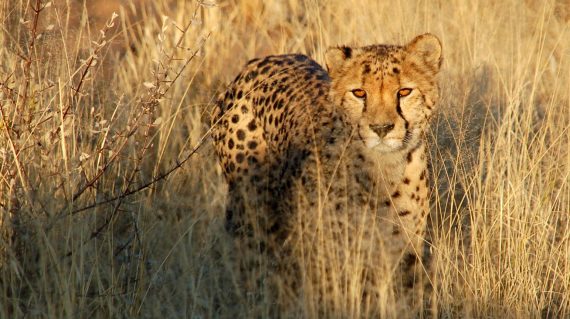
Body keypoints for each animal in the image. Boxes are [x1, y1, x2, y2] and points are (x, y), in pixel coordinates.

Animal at [211, 33, 442, 316]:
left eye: (404, 92)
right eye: (359, 93)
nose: (381, 128)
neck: (382, 172)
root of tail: (259, 61)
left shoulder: (401, 253)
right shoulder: (330, 257)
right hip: (252, 210)